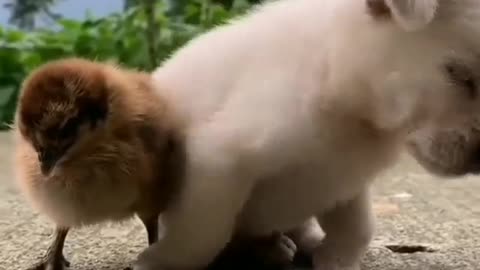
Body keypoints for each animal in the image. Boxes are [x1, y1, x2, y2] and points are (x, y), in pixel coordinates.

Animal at [133, 0, 480, 270]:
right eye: (458, 74)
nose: (479, 158)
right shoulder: (219, 160)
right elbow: (202, 234)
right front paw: (157, 262)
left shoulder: (343, 179)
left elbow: (358, 226)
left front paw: (335, 259)